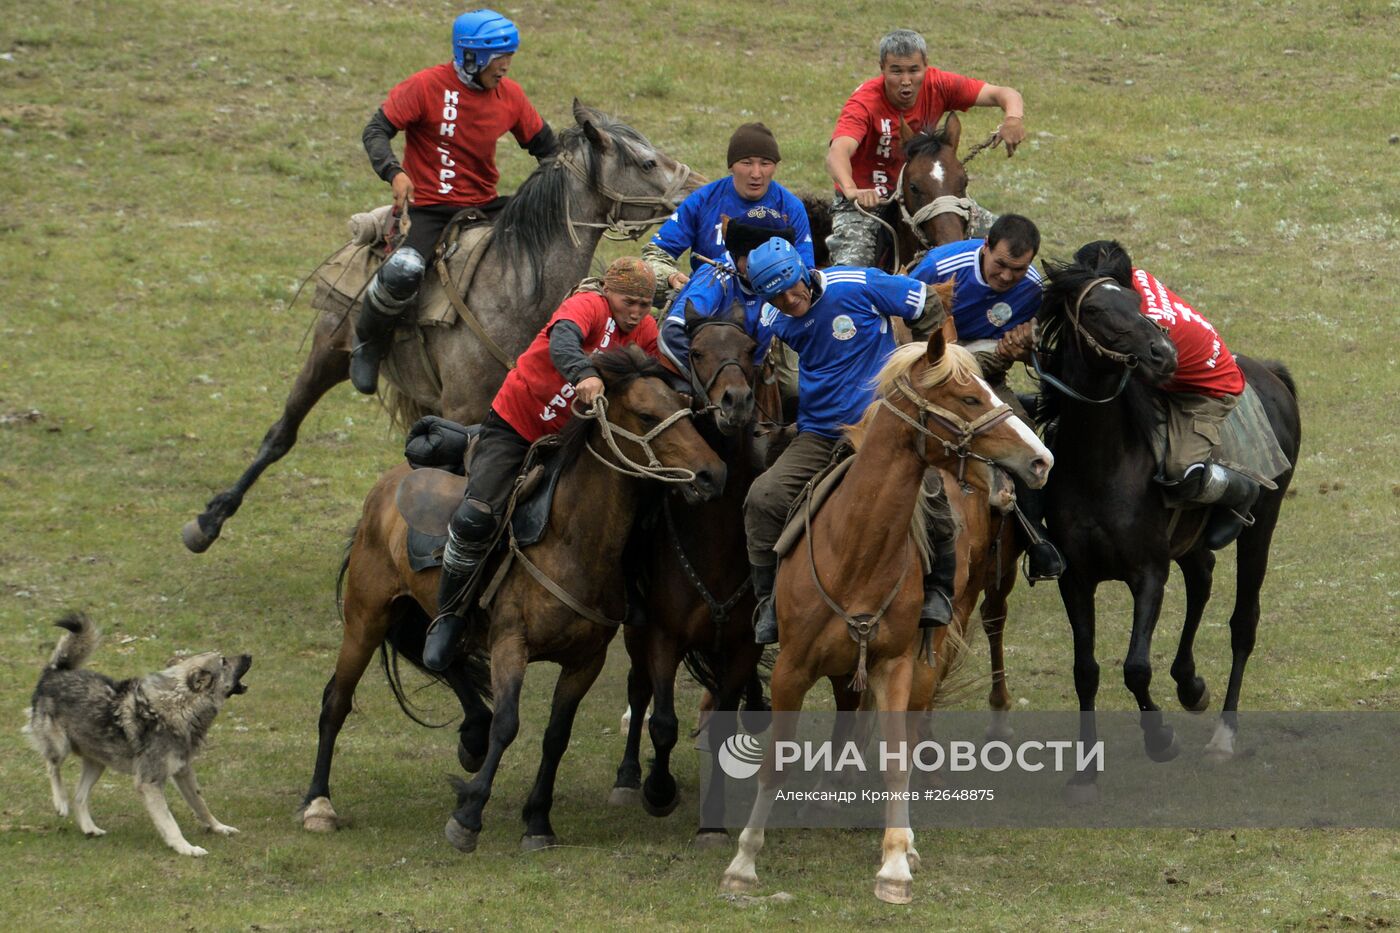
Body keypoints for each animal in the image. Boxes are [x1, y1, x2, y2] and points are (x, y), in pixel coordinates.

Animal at [25, 610, 254, 857]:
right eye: (224, 661)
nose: (249, 654)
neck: (178, 707)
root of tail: (55, 671)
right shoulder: (149, 782)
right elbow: (170, 823)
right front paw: (186, 848)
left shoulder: (183, 771)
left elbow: (201, 805)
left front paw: (219, 828)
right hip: (61, 747)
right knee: (51, 767)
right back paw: (60, 802)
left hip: (98, 763)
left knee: (79, 797)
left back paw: (90, 828)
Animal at [182, 101, 700, 551]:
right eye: (647, 162)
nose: (696, 185)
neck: (513, 292)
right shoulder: (467, 412)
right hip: (330, 349)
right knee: (282, 433)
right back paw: (209, 521)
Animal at [610, 301, 772, 840]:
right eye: (697, 352)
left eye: (749, 347)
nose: (735, 401)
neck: (714, 538)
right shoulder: (664, 635)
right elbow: (662, 721)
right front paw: (658, 790)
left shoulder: (742, 644)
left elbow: (722, 720)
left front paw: (713, 825)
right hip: (635, 629)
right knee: (638, 689)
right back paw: (626, 778)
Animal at [722, 332, 1052, 902]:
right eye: (969, 397)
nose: (1040, 459)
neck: (855, 549)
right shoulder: (790, 669)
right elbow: (773, 765)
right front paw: (743, 862)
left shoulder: (896, 664)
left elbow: (898, 761)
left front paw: (896, 862)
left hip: (941, 635)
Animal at [1041, 246, 1299, 784]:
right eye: (1094, 310)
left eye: (1135, 304)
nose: (1163, 355)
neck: (1100, 465)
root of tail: (1271, 374)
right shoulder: (1074, 578)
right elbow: (1086, 670)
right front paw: (1085, 770)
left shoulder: (1148, 574)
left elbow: (1136, 667)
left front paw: (1160, 739)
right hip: (1193, 542)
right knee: (1202, 577)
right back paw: (1190, 684)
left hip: (1263, 524)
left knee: (1244, 620)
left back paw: (1223, 734)